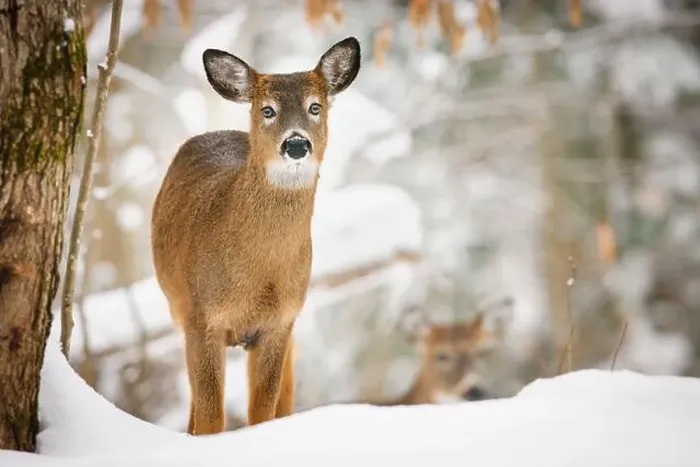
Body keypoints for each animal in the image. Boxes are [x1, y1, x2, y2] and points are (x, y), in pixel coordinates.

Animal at [150, 37, 361, 435]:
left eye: (315, 106)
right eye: (268, 110)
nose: (296, 144)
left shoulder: (280, 323)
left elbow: (261, 414)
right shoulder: (203, 317)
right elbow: (211, 417)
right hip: (179, 308)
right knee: (194, 405)